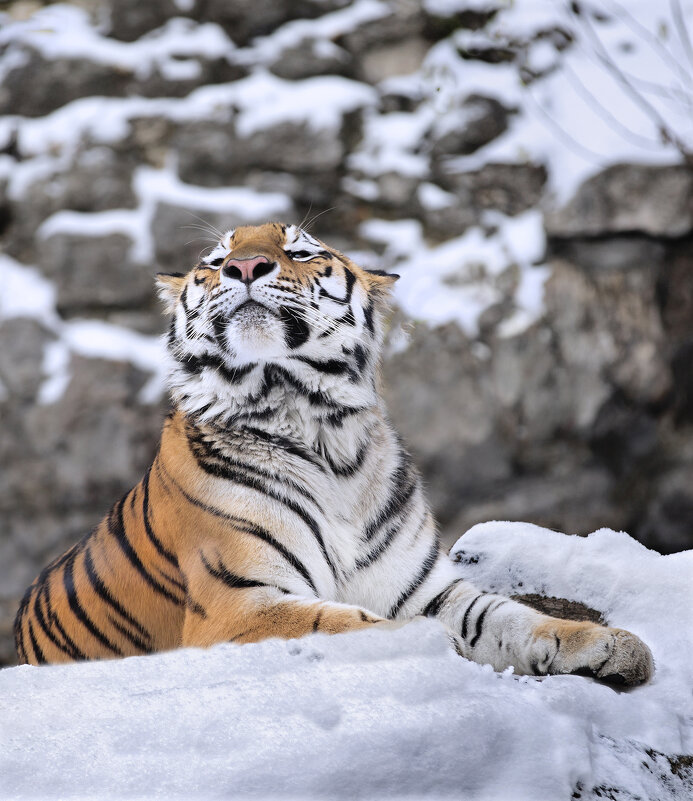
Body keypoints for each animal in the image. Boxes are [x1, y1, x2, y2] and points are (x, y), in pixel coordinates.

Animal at [14, 222, 656, 684]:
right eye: (215, 262)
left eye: (298, 250)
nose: (243, 266)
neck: (322, 430)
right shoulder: (236, 603)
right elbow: (344, 622)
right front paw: (429, 645)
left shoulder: (425, 589)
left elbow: (507, 616)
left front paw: (610, 644)